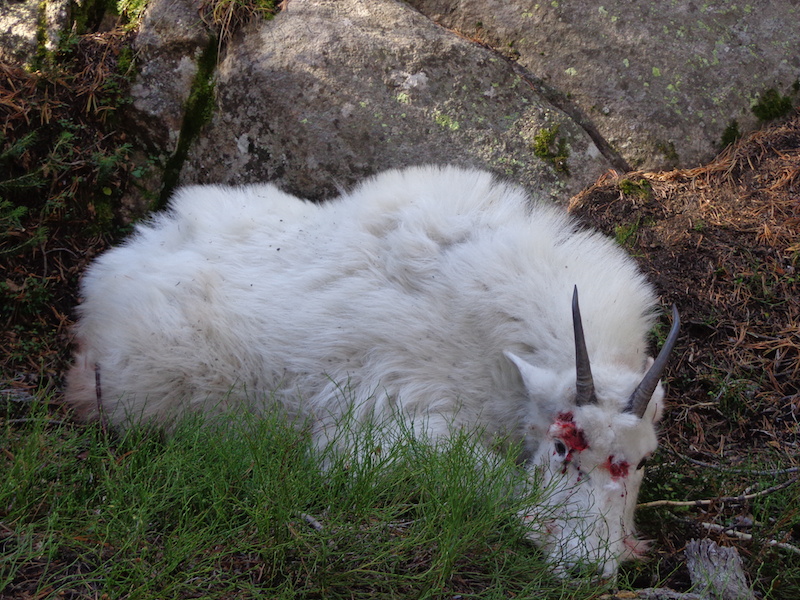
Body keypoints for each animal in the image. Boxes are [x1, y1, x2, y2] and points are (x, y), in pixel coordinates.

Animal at [66, 165, 679, 578]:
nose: (589, 568)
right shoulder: (381, 431)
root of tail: (103, 282)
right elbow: (485, 476)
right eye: (560, 446)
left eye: (644, 460)